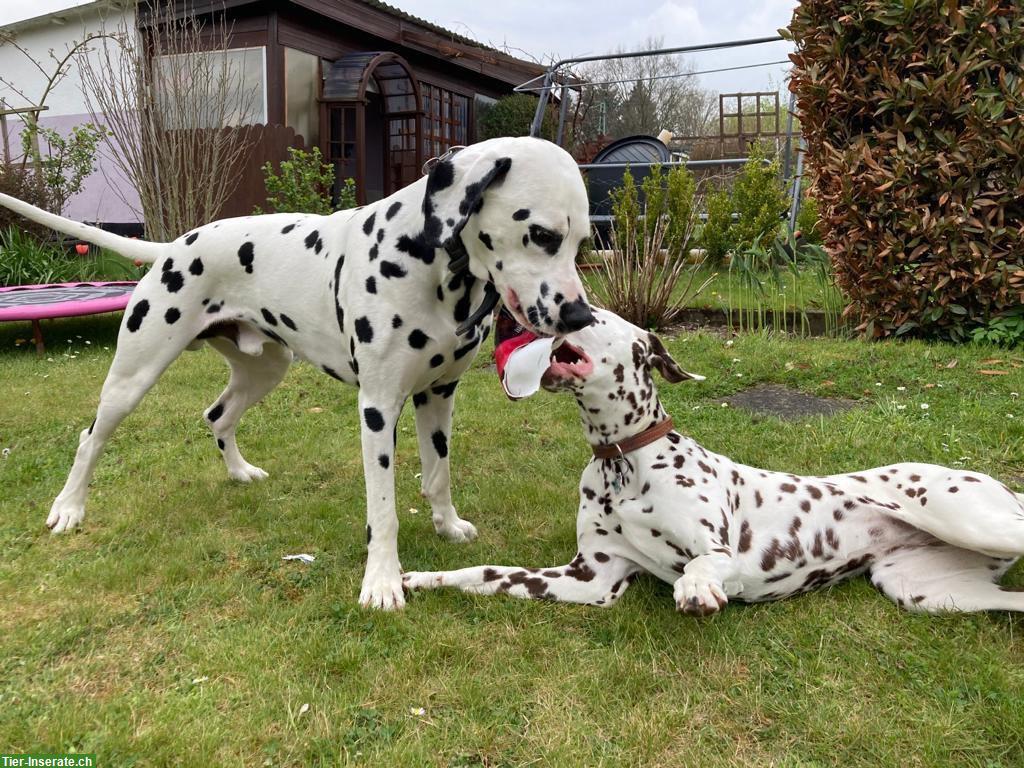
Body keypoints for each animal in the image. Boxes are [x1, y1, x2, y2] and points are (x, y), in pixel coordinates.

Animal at [2, 135, 593, 610]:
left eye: (581, 240)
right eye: (541, 234)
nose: (579, 316)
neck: (430, 263)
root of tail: (173, 246)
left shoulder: (439, 394)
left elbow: (438, 474)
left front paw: (447, 526)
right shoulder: (379, 408)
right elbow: (384, 508)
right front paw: (382, 582)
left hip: (265, 370)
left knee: (217, 415)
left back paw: (240, 473)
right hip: (133, 375)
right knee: (91, 437)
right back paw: (68, 508)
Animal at [405, 309, 1024, 618]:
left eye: (588, 313)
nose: (505, 319)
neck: (625, 461)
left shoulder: (720, 551)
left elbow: (703, 564)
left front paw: (697, 588)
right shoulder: (590, 578)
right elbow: (485, 574)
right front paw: (421, 578)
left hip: (965, 518)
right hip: (921, 590)